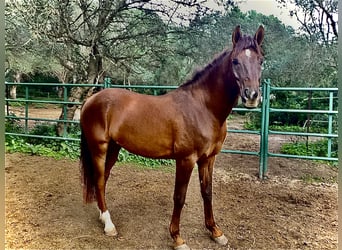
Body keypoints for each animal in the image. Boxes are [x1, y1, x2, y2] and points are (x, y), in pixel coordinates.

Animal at [80, 25, 264, 250]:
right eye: (235, 61)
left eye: (261, 60)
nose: (252, 96)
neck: (203, 108)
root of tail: (91, 99)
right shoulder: (186, 160)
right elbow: (179, 196)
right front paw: (177, 238)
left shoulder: (208, 159)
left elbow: (207, 192)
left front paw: (215, 231)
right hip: (99, 148)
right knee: (98, 180)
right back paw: (109, 225)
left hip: (114, 148)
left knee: (103, 179)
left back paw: (103, 217)